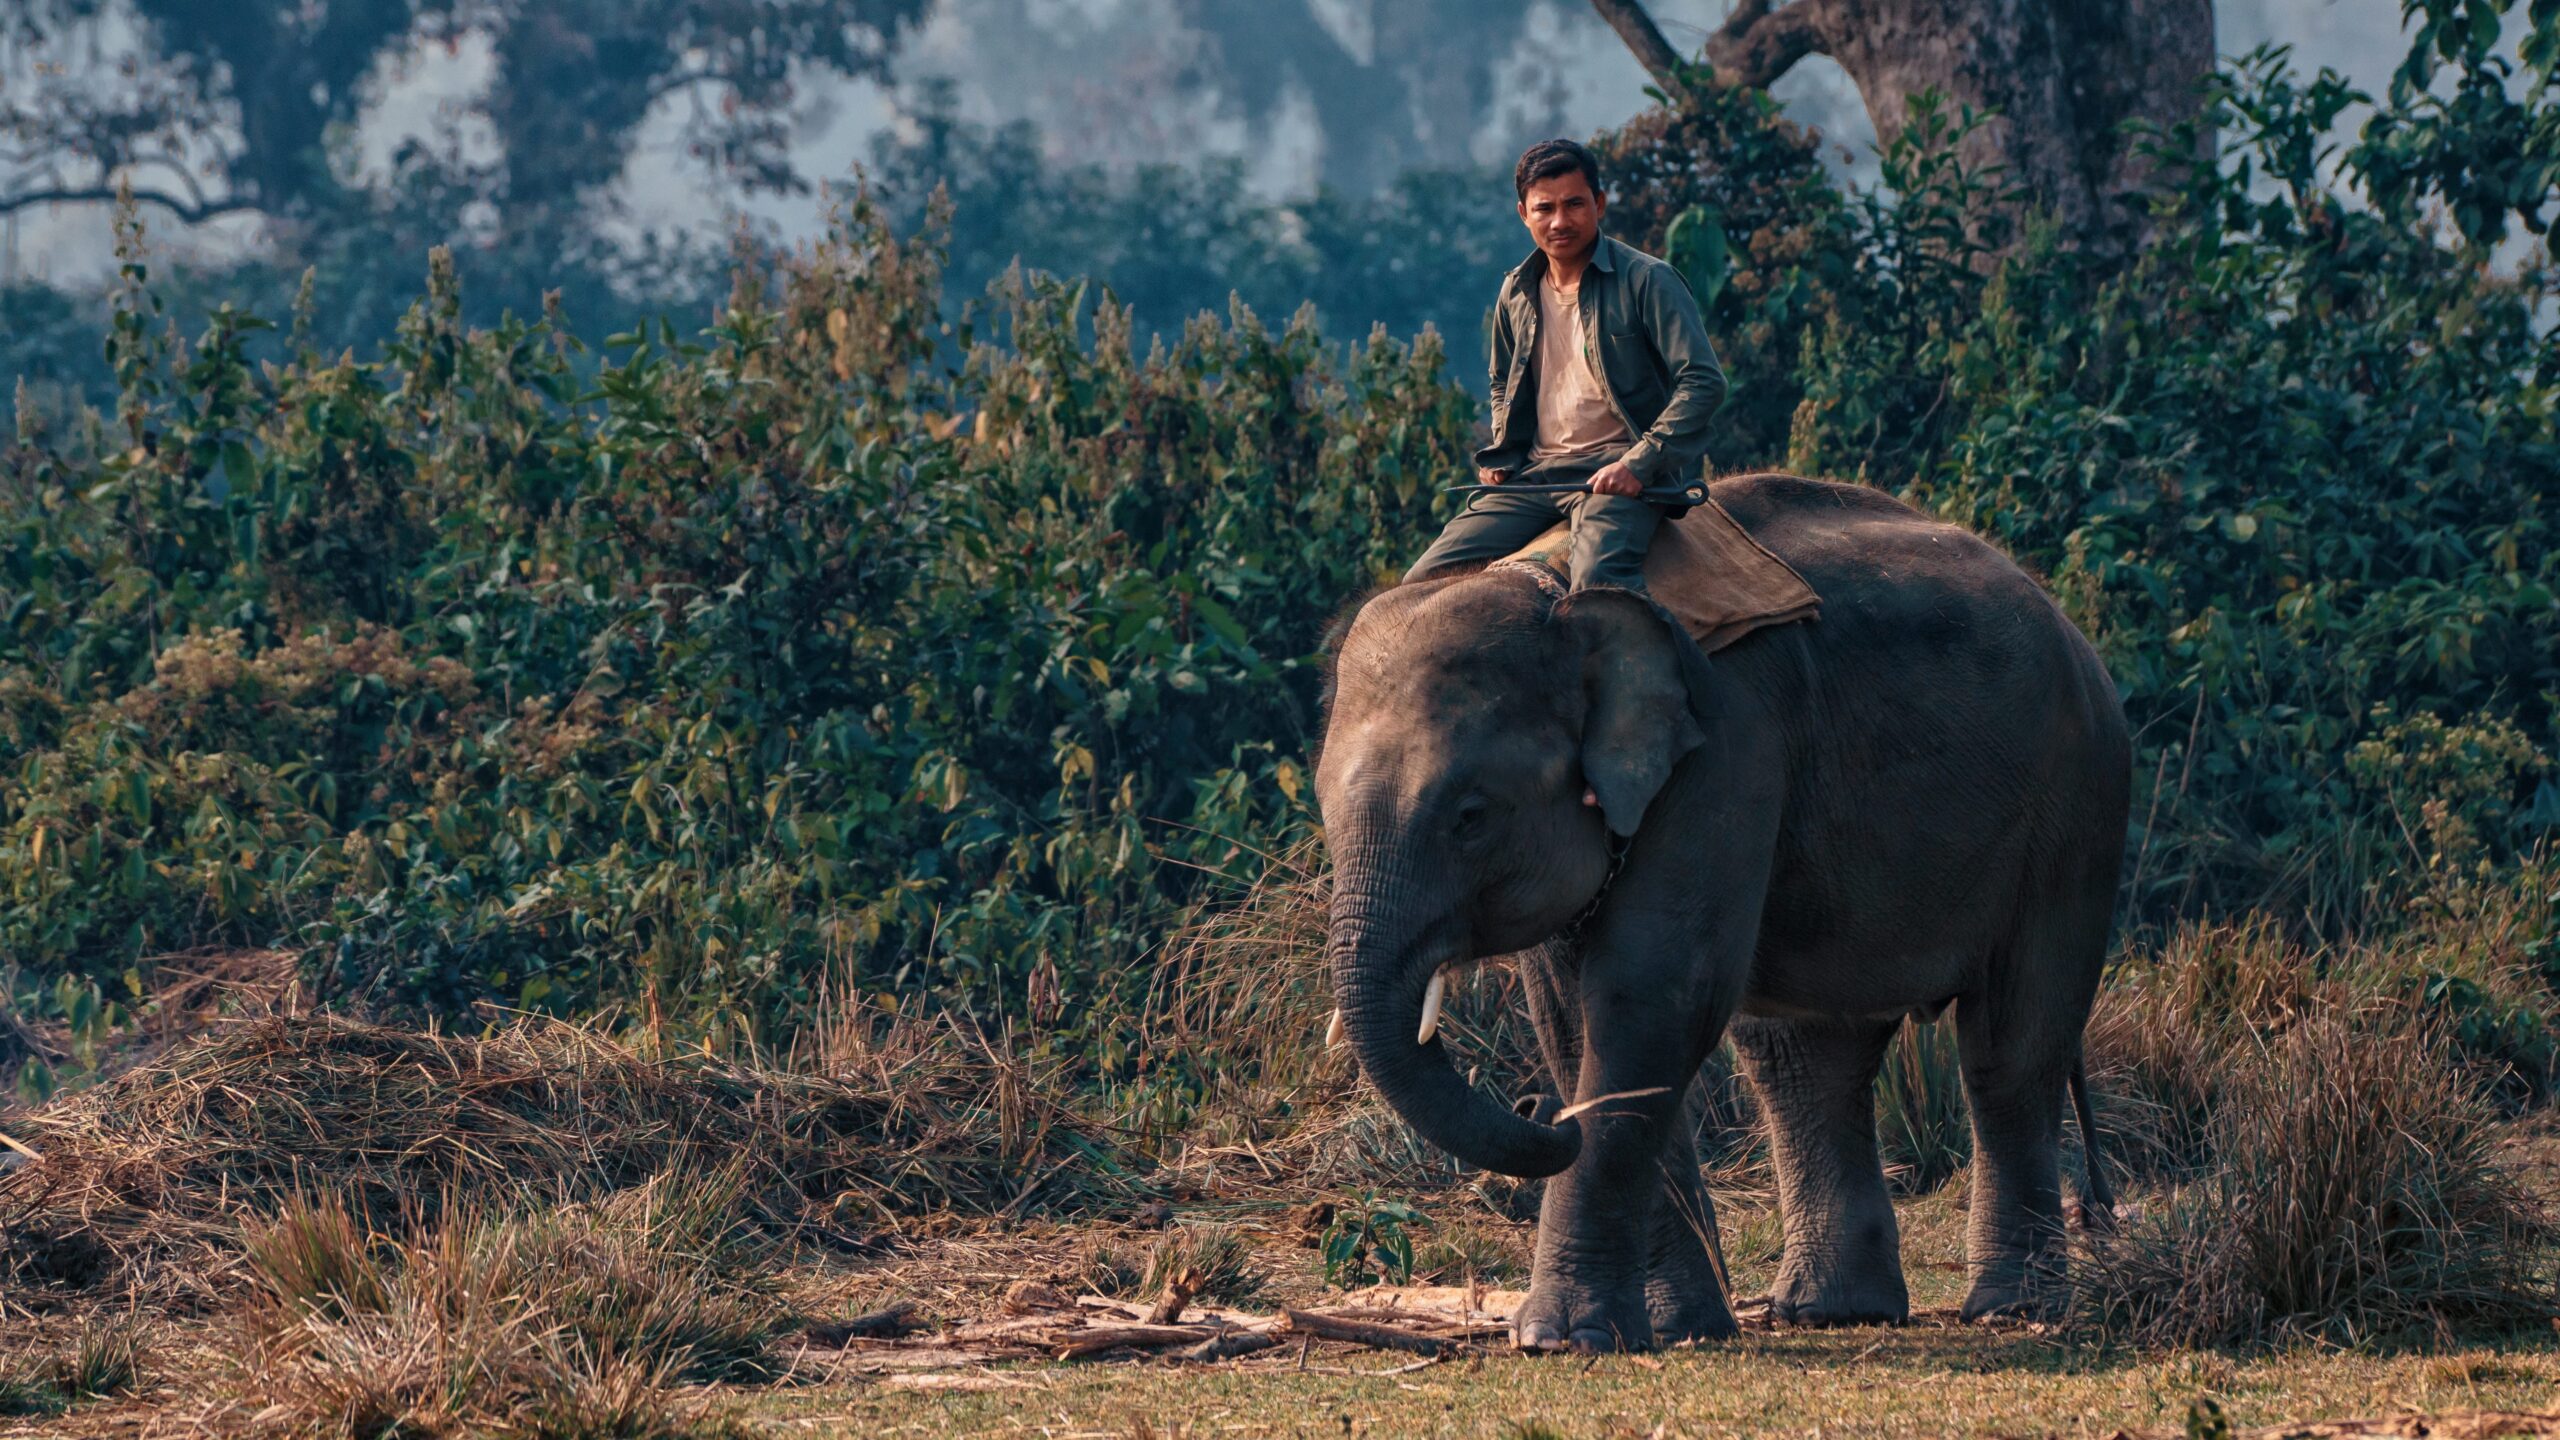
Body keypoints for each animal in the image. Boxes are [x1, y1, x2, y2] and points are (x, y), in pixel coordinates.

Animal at [1310, 468, 2129, 1342]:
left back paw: (2011, 1311)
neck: (1555, 591)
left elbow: (1650, 997)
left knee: (2009, 1047)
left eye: (1470, 816)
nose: (1539, 1111)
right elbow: (1574, 1018)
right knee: (1806, 1058)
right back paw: (1832, 1312)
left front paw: (1561, 1339)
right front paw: (1677, 1330)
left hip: (2076, 809)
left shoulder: (1728, 747)